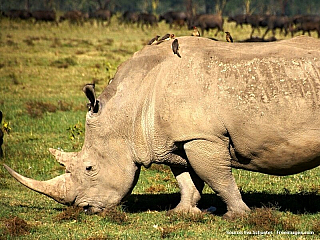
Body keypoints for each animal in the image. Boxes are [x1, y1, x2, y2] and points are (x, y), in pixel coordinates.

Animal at [3, 35, 320, 218]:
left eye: (90, 168)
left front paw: (239, 216)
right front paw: (184, 212)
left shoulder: (203, 137)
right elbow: (187, 178)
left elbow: (219, 178)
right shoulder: (176, 139)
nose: (85, 209)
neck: (130, 107)